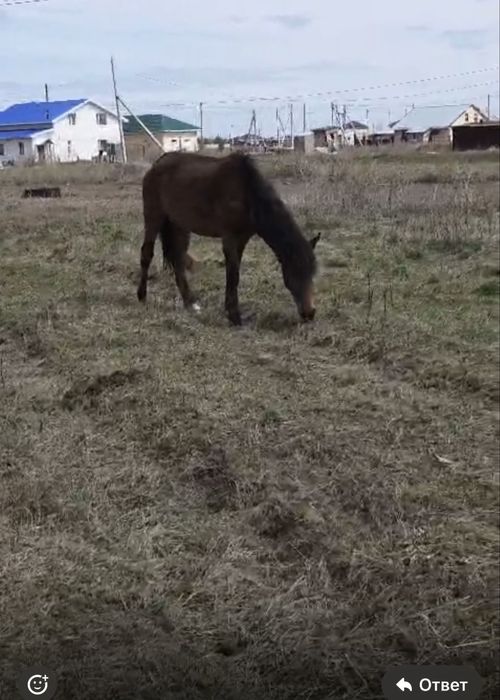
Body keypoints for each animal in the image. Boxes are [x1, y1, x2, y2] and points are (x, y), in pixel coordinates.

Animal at [137, 151, 320, 325]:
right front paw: (234, 316)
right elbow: (233, 275)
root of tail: (156, 165)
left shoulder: (242, 239)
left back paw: (190, 303)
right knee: (147, 253)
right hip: (154, 217)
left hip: (180, 226)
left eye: (312, 273)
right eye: (295, 273)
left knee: (178, 260)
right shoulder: (230, 239)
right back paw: (142, 296)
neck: (247, 193)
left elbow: (234, 274)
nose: (309, 313)